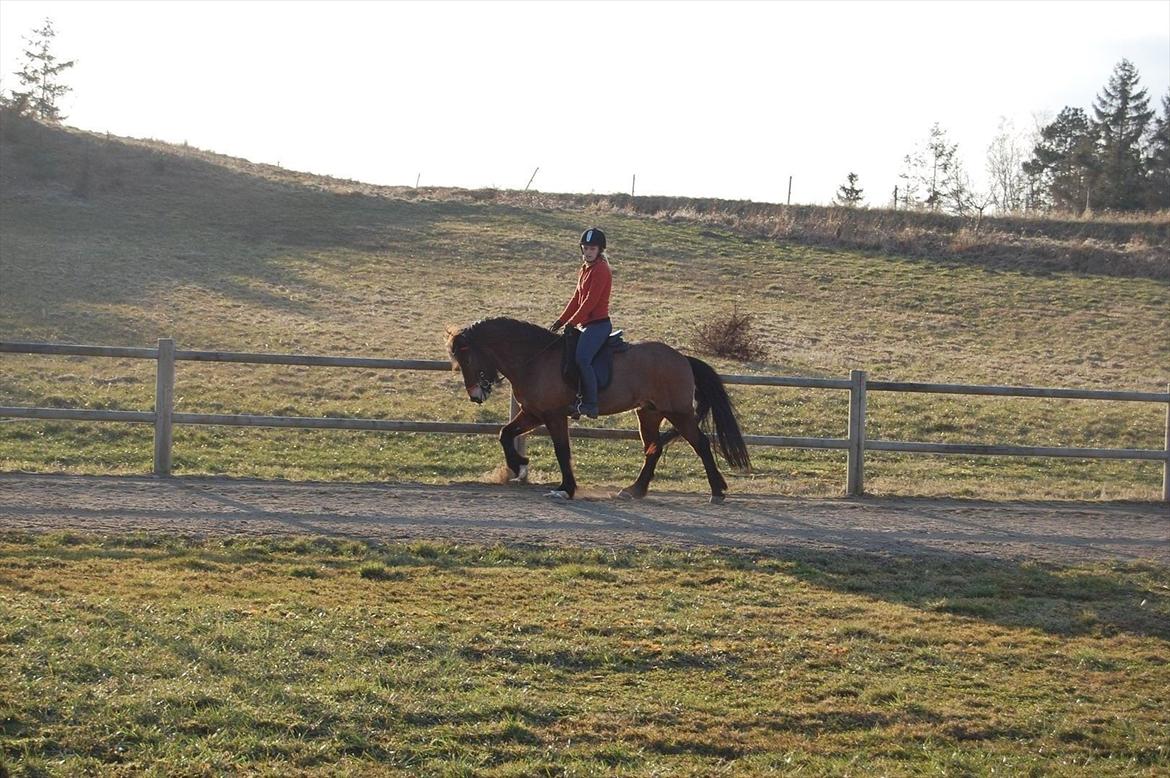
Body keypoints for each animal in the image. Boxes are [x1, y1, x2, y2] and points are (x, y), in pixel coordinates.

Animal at [442, 318, 753, 503]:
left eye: (467, 358)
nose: (476, 395)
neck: (535, 358)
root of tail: (682, 358)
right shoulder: (533, 413)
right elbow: (505, 433)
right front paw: (519, 463)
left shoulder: (554, 415)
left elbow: (562, 450)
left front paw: (566, 488)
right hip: (649, 413)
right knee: (653, 449)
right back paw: (635, 490)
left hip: (678, 413)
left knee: (701, 444)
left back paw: (717, 491)